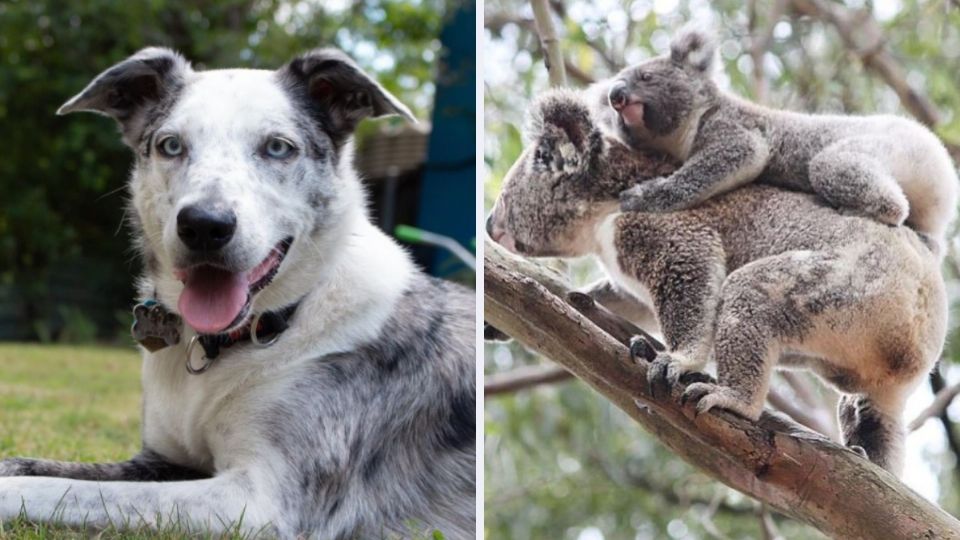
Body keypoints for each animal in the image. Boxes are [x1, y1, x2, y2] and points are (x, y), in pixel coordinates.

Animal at [0, 47, 476, 540]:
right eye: (171, 145)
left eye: (278, 147)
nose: (204, 226)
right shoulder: (161, 461)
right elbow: (35, 468)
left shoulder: (258, 501)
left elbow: (62, 489)